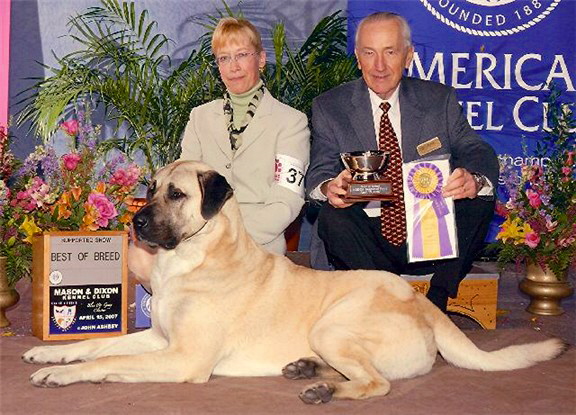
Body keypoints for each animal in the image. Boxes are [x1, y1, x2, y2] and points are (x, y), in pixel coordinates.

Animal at [23, 162, 568, 404]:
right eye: (150, 189)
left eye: (176, 194)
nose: (135, 223)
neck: (197, 259)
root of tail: (425, 306)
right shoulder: (158, 337)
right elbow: (96, 345)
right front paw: (50, 355)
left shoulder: (182, 357)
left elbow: (107, 361)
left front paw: (65, 376)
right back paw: (308, 372)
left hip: (334, 325)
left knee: (377, 383)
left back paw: (323, 390)